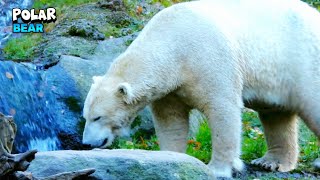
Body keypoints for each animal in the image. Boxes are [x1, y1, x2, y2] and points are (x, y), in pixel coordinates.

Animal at [82, 0, 320, 177]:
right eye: (85, 116)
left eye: (98, 117)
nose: (86, 143)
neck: (172, 41)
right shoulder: (169, 88)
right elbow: (171, 121)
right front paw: (169, 158)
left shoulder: (209, 59)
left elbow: (222, 109)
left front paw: (218, 168)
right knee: (275, 115)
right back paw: (271, 162)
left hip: (303, 61)